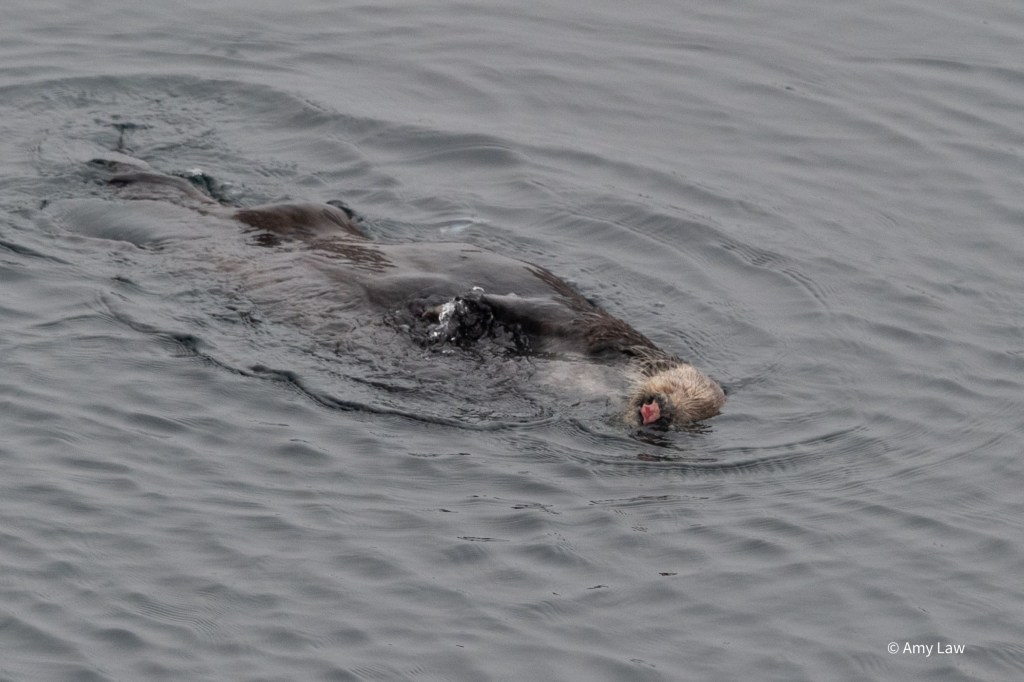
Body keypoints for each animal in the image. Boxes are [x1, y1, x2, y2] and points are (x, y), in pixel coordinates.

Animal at [97, 159, 725, 429]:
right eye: (671, 389)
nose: (656, 413)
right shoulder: (589, 332)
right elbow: (531, 310)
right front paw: (470, 309)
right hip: (303, 213)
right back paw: (121, 170)